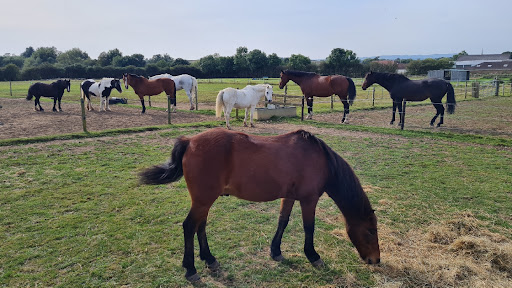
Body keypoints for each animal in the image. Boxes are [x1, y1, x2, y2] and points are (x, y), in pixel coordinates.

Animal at [140, 127, 380, 282]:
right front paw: (313, 256)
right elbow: (309, 228)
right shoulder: (309, 199)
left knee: (201, 226)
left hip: (204, 201)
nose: (375, 260)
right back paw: (190, 269)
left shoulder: (289, 197)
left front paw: (276, 251)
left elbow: (282, 221)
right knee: (190, 227)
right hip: (202, 200)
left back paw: (209, 259)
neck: (321, 160)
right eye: (370, 231)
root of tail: (190, 141)